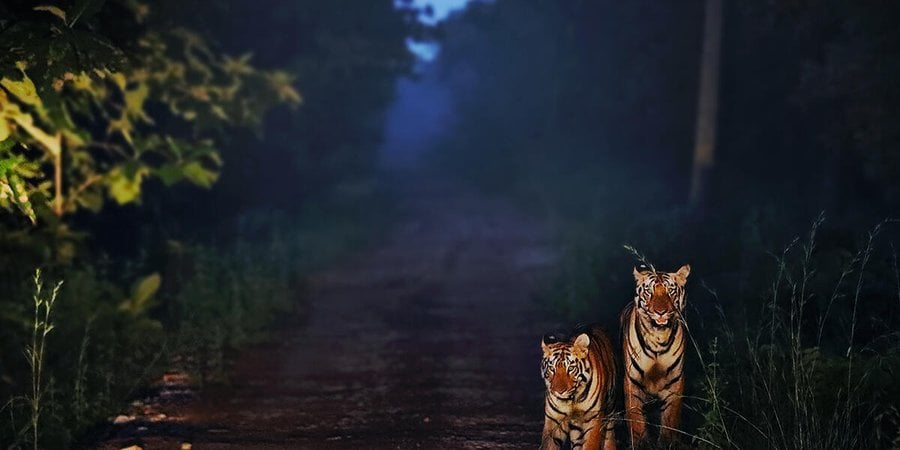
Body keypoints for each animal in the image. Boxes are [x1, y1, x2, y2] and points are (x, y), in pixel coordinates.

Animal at [621, 264, 690, 445]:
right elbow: (636, 419)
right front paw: (641, 443)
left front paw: (667, 442)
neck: (659, 337)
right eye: (649, 292)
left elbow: (670, 419)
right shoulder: (632, 382)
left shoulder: (675, 382)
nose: (660, 312)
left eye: (670, 291)